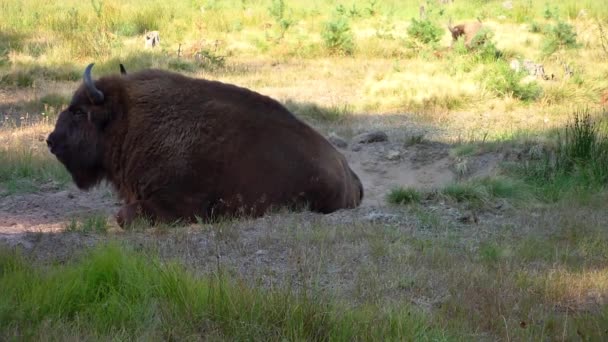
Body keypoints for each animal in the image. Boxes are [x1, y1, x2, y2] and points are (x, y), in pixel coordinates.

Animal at [46, 63, 366, 227]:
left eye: (79, 112)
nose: (51, 140)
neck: (127, 121)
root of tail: (349, 174)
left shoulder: (174, 205)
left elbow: (124, 216)